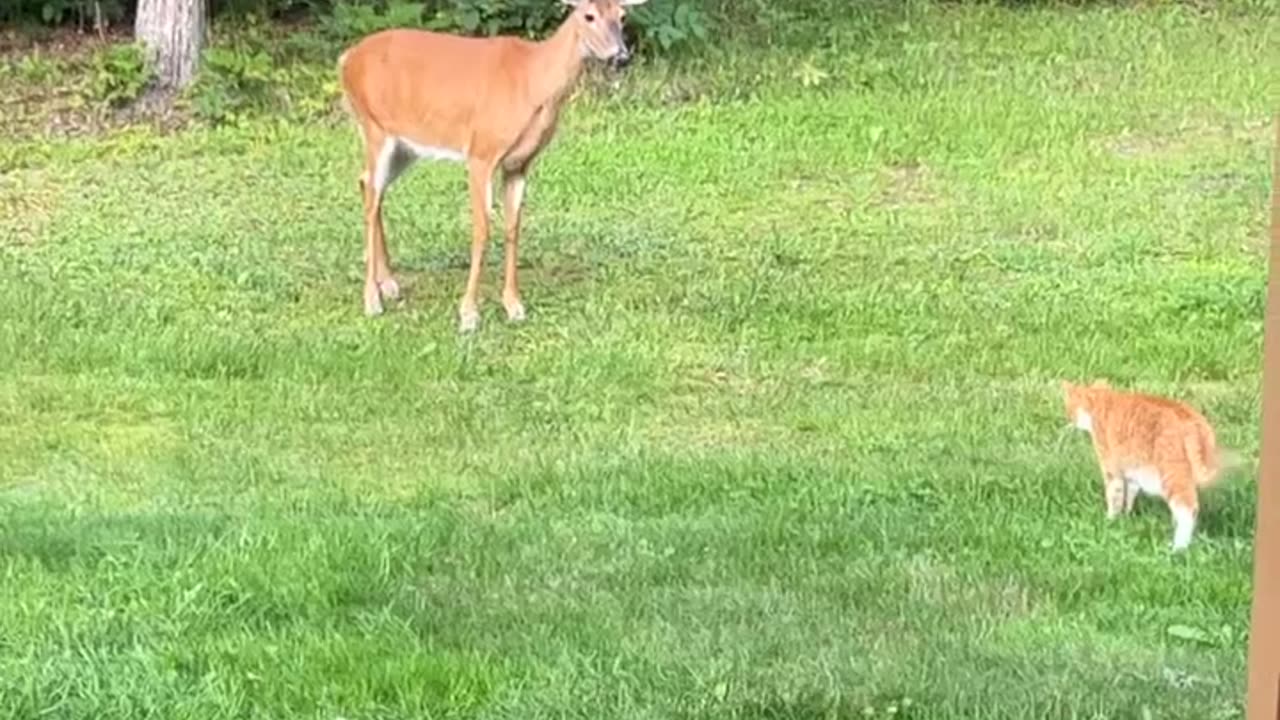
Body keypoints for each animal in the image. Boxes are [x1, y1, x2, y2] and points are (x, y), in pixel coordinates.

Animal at [337, 0, 645, 333]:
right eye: (588, 16)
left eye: (622, 17)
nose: (621, 56)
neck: (533, 80)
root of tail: (346, 59)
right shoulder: (481, 153)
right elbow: (482, 230)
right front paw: (468, 314)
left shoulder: (520, 163)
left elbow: (513, 227)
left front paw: (514, 305)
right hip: (374, 127)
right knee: (371, 197)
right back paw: (372, 299)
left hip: (405, 144)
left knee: (367, 184)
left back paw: (389, 284)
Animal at [1059, 381, 1239, 548]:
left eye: (1069, 407)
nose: (1069, 420)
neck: (1102, 402)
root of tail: (1192, 421)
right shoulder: (1132, 472)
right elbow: (1129, 496)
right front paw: (1126, 516)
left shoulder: (1111, 469)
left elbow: (1114, 496)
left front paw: (1110, 521)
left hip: (1171, 474)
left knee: (1187, 509)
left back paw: (1178, 548)